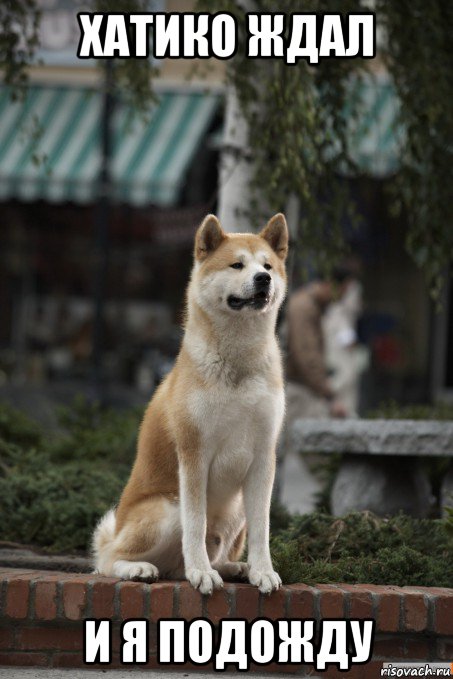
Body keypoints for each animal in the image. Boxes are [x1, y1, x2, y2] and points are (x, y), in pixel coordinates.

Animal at [93, 212, 288, 596]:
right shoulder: (194, 454)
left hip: (236, 509)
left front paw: (263, 571)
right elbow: (195, 526)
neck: (237, 364)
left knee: (203, 558)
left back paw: (235, 568)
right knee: (108, 560)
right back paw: (142, 568)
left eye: (268, 266)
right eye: (237, 264)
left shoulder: (263, 457)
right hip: (167, 508)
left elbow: (263, 530)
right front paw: (201, 573)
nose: (263, 279)